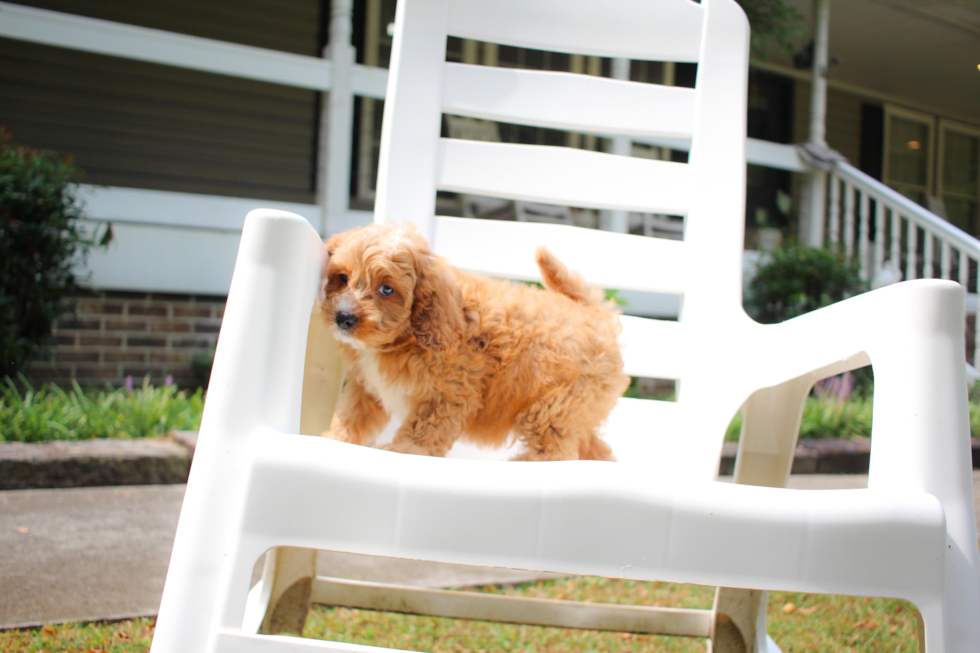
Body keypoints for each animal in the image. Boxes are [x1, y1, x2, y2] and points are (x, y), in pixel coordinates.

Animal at [322, 224, 628, 464]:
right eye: (342, 278)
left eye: (387, 289)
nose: (344, 317)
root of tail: (595, 313)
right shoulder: (365, 387)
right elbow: (354, 415)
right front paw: (336, 437)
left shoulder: (449, 392)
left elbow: (425, 427)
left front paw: (407, 450)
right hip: (580, 411)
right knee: (592, 447)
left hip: (556, 406)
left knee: (554, 449)